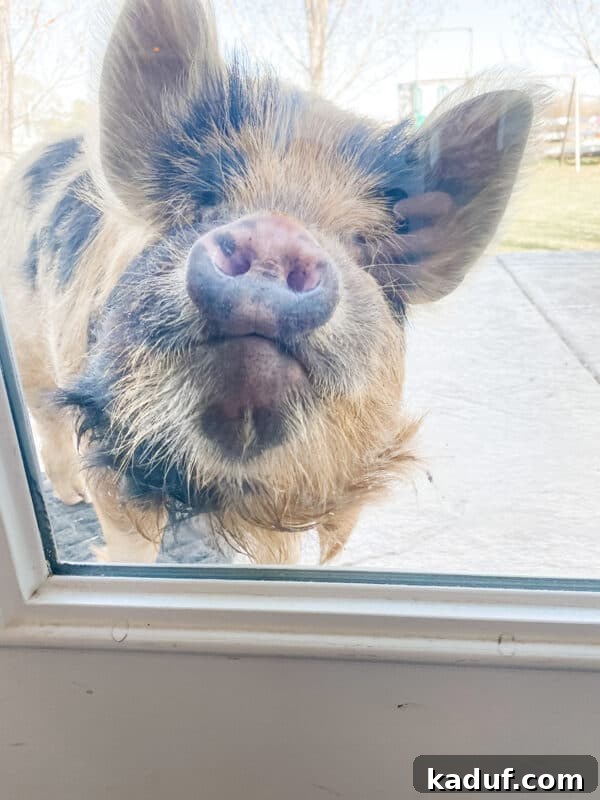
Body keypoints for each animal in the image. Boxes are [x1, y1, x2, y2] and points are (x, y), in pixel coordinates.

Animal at [0, 0, 539, 564]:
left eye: (361, 244)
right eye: (205, 199)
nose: (277, 231)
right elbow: (129, 541)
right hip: (25, 336)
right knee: (44, 413)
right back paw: (71, 496)